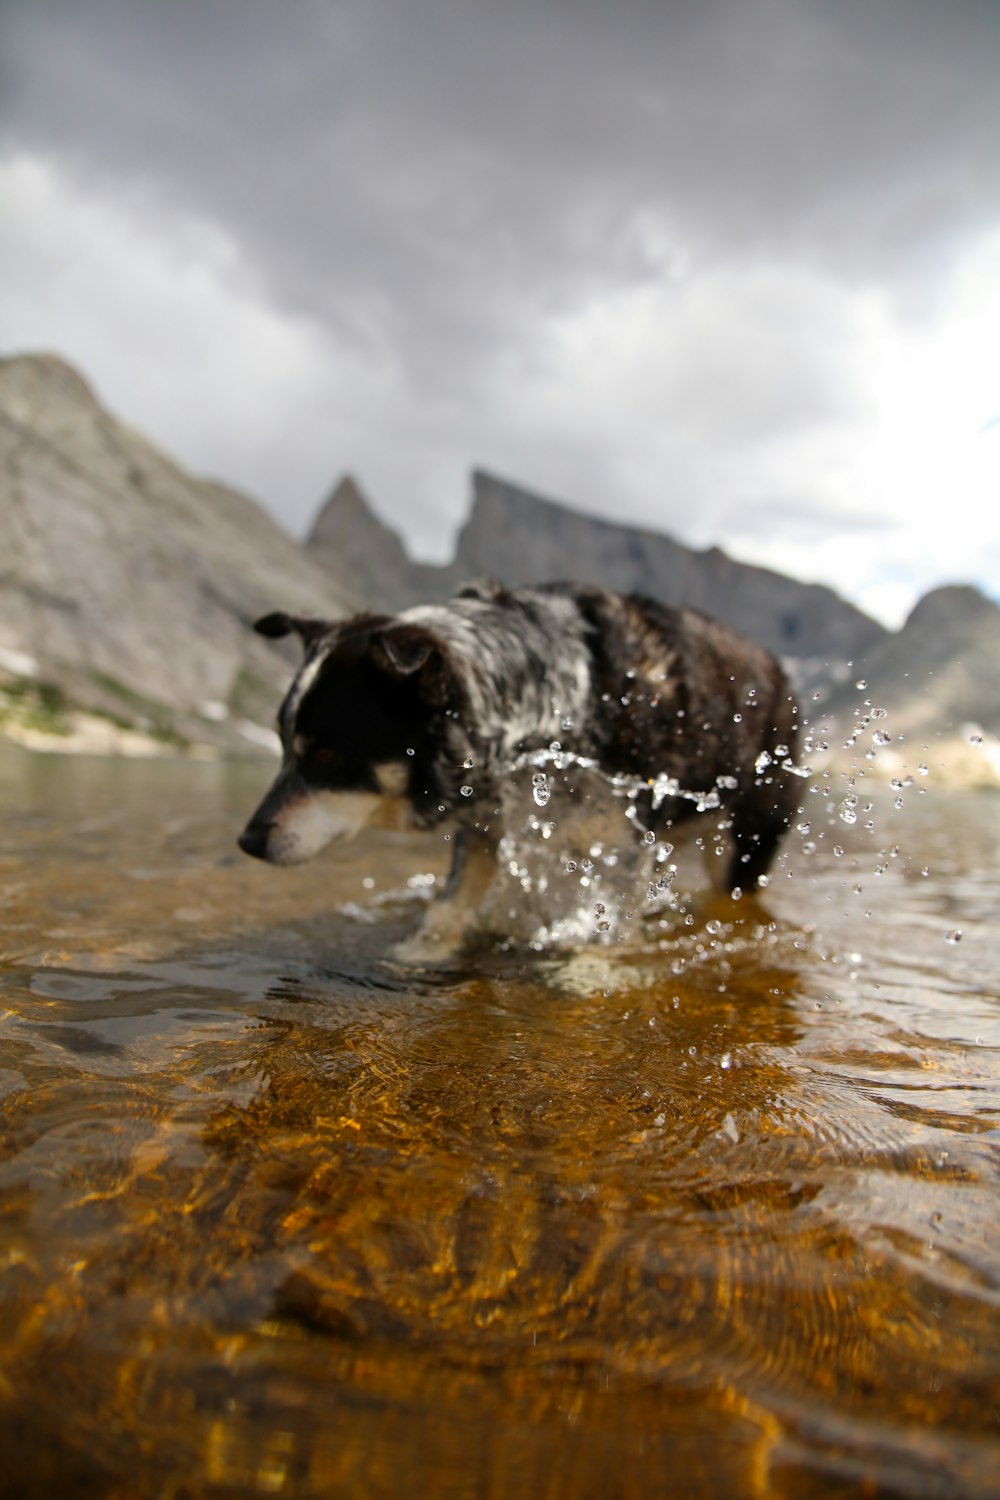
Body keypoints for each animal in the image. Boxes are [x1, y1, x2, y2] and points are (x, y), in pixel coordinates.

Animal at [238, 582, 803, 948]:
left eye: (326, 755)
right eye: (282, 745)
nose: (247, 841)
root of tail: (779, 673)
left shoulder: (620, 843)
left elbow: (602, 929)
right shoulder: (483, 821)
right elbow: (452, 905)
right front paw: (419, 954)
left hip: (745, 839)